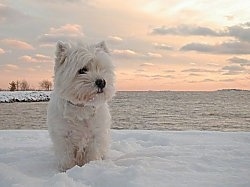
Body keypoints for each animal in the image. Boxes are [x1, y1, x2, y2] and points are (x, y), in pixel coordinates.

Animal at [47, 40, 115, 171]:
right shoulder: (63, 137)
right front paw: (66, 170)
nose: (101, 82)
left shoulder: (95, 136)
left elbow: (92, 155)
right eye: (82, 70)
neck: (81, 108)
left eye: (102, 68)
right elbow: (67, 159)